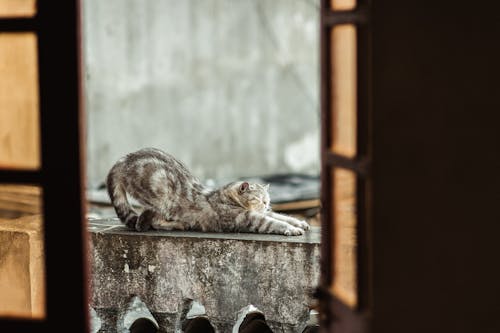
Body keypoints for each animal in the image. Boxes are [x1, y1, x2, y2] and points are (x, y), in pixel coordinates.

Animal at [105, 147, 308, 235]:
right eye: (258, 199)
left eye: (268, 200)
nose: (266, 205)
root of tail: (124, 159)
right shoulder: (247, 218)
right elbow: (273, 222)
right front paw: (291, 229)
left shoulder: (260, 213)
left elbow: (279, 216)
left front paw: (299, 222)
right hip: (161, 195)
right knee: (146, 221)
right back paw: (178, 225)